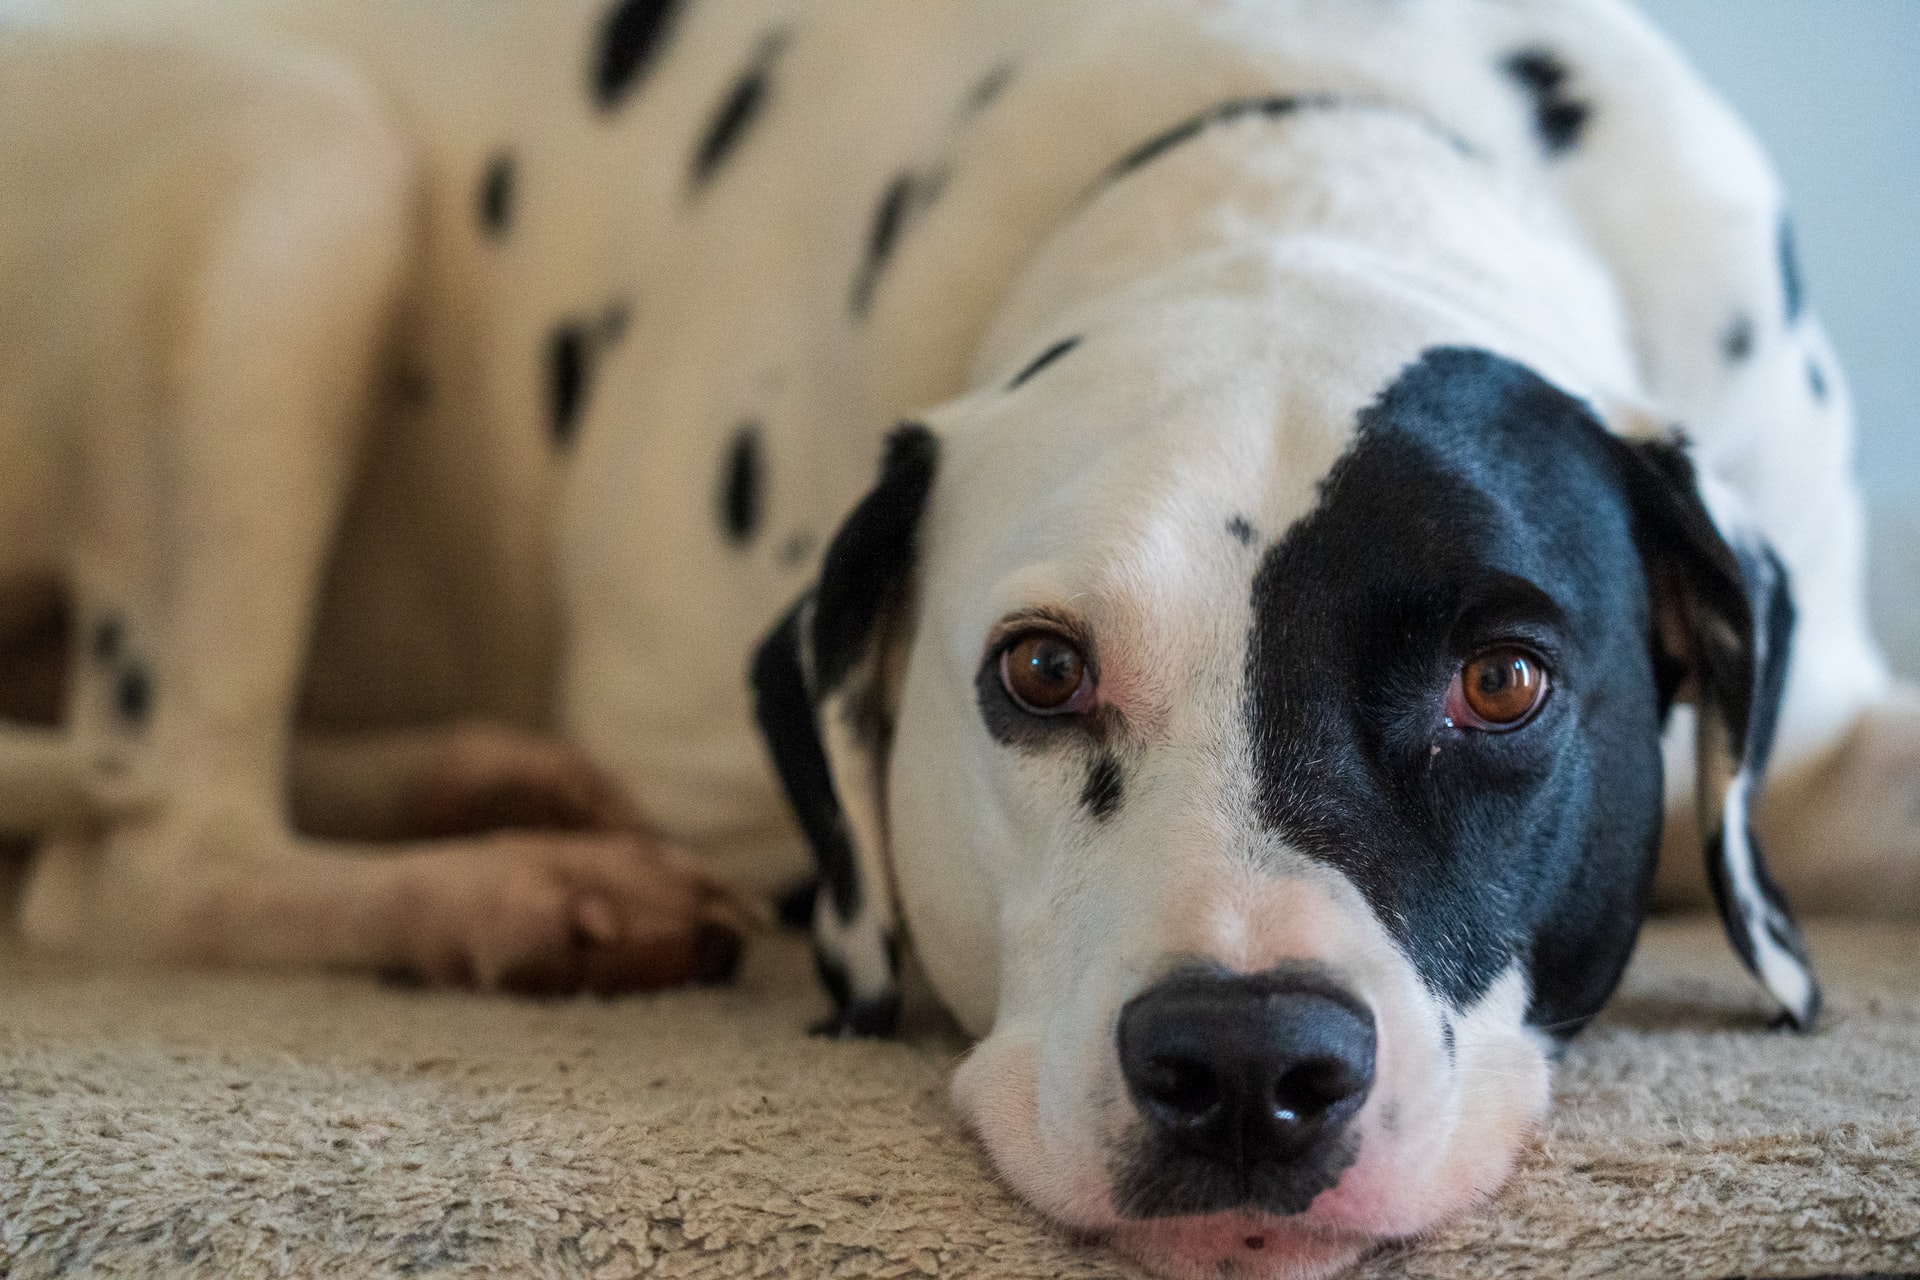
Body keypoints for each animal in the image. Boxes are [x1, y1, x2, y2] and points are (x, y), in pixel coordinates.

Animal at [3, 2, 1920, 1280]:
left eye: (1504, 678)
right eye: (1042, 671)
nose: (1247, 1070)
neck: (1309, 143)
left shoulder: (1829, 727)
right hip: (297, 161)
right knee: (149, 847)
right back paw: (516, 891)